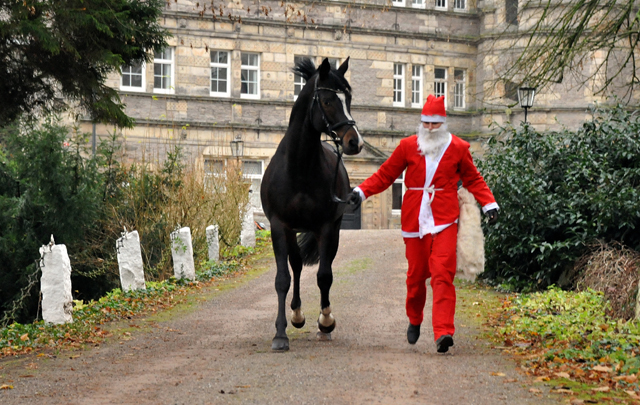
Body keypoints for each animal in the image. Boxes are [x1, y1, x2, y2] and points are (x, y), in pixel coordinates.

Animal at [258, 56, 360, 350]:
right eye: (327, 101)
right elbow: (283, 278)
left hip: (332, 231)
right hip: (292, 231)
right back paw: (296, 314)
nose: (354, 142)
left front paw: (326, 321)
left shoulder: (326, 226)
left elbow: (324, 275)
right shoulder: (279, 226)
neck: (300, 167)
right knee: (296, 265)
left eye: (349, 99)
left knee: (322, 270)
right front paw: (280, 334)